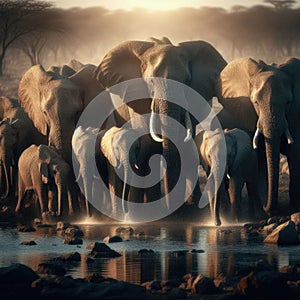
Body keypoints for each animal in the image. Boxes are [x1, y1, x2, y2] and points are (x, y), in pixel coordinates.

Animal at [214, 56, 296, 216]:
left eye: (288, 103)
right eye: (256, 103)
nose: (266, 207)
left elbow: (295, 152)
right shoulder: (248, 112)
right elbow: (260, 156)